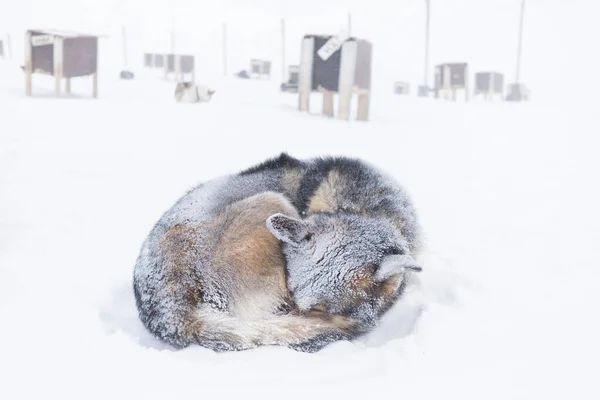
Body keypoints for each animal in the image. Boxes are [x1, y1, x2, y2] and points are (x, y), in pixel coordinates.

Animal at [132, 155, 422, 352]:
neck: (362, 207)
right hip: (272, 200)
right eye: (292, 294)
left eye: (317, 308)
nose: (291, 312)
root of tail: (174, 316)